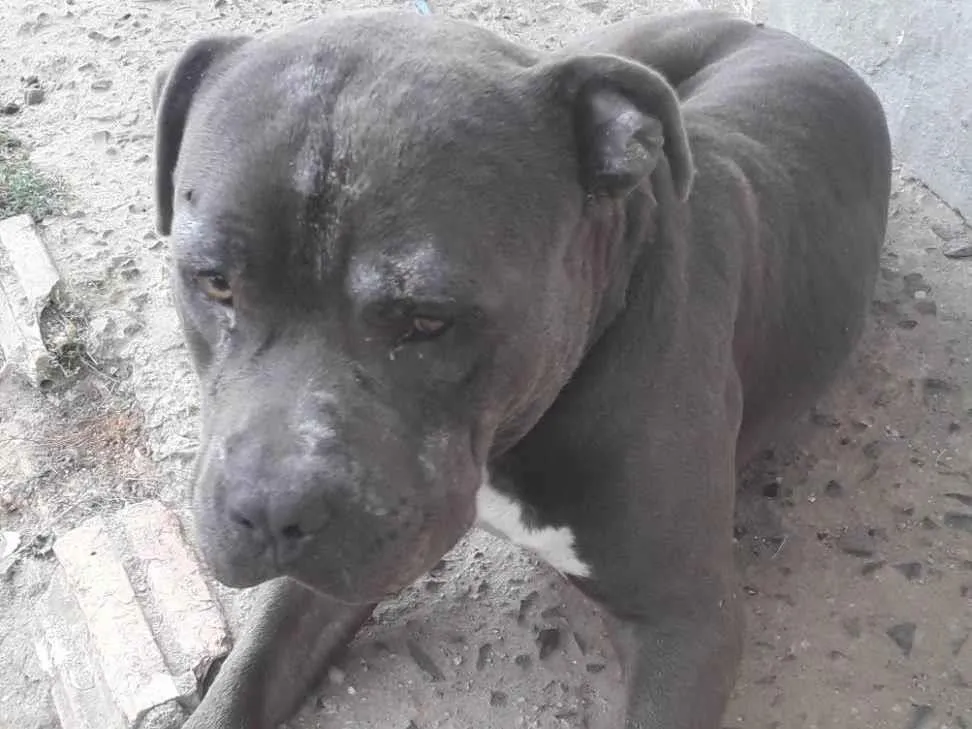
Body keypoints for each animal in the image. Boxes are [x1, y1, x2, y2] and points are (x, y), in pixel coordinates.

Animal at [152, 8, 891, 728]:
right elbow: (250, 672)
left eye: (428, 318)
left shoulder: (688, 622)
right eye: (214, 282)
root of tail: (771, 32)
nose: (269, 510)